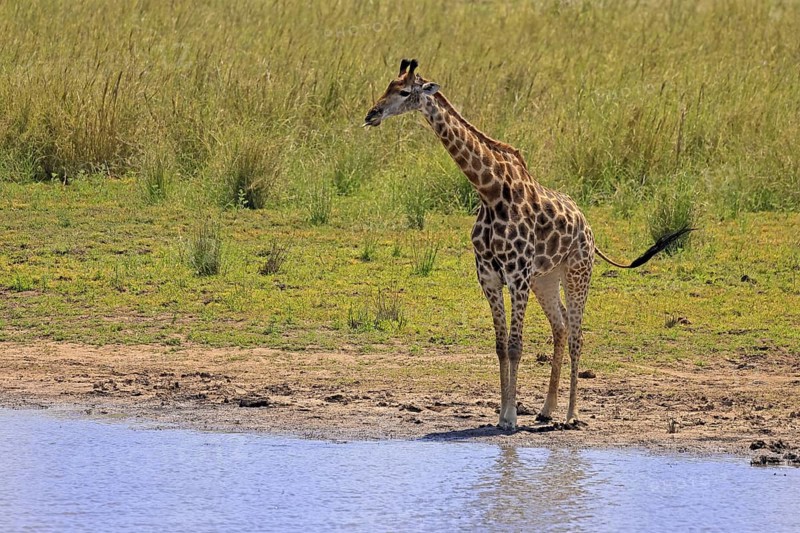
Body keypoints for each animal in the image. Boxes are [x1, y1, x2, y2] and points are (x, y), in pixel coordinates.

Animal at [364, 59, 691, 430]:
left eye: (405, 92)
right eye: (388, 87)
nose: (371, 114)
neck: (489, 192)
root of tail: (588, 227)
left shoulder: (516, 277)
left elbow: (516, 345)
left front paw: (509, 417)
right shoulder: (490, 278)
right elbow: (500, 345)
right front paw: (502, 413)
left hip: (577, 273)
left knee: (577, 334)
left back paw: (571, 415)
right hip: (545, 279)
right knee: (560, 326)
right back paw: (547, 409)